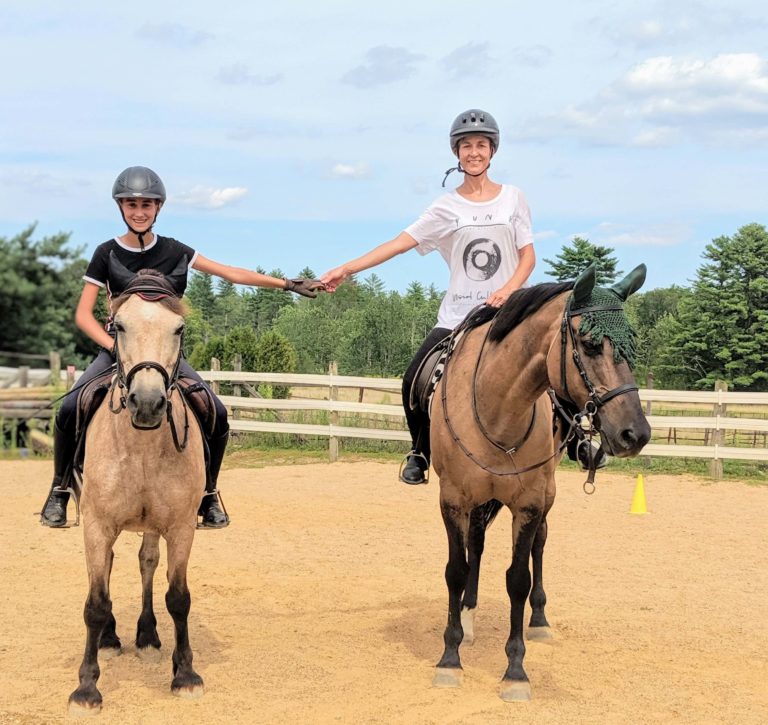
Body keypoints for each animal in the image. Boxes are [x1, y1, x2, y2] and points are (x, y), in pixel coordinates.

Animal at [67, 268, 207, 716]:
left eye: (178, 328)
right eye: (119, 326)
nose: (146, 403)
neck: (142, 447)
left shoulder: (181, 527)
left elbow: (178, 597)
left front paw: (185, 675)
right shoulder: (96, 524)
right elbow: (95, 603)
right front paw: (86, 689)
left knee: (147, 561)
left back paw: (146, 635)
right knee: (106, 567)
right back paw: (112, 638)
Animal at [428, 264, 652, 700]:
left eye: (630, 347)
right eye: (590, 344)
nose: (636, 434)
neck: (497, 407)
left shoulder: (529, 503)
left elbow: (518, 578)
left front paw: (515, 670)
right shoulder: (454, 500)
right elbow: (456, 569)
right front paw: (450, 657)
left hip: (545, 496)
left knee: (540, 545)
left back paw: (540, 620)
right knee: (476, 546)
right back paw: (469, 617)